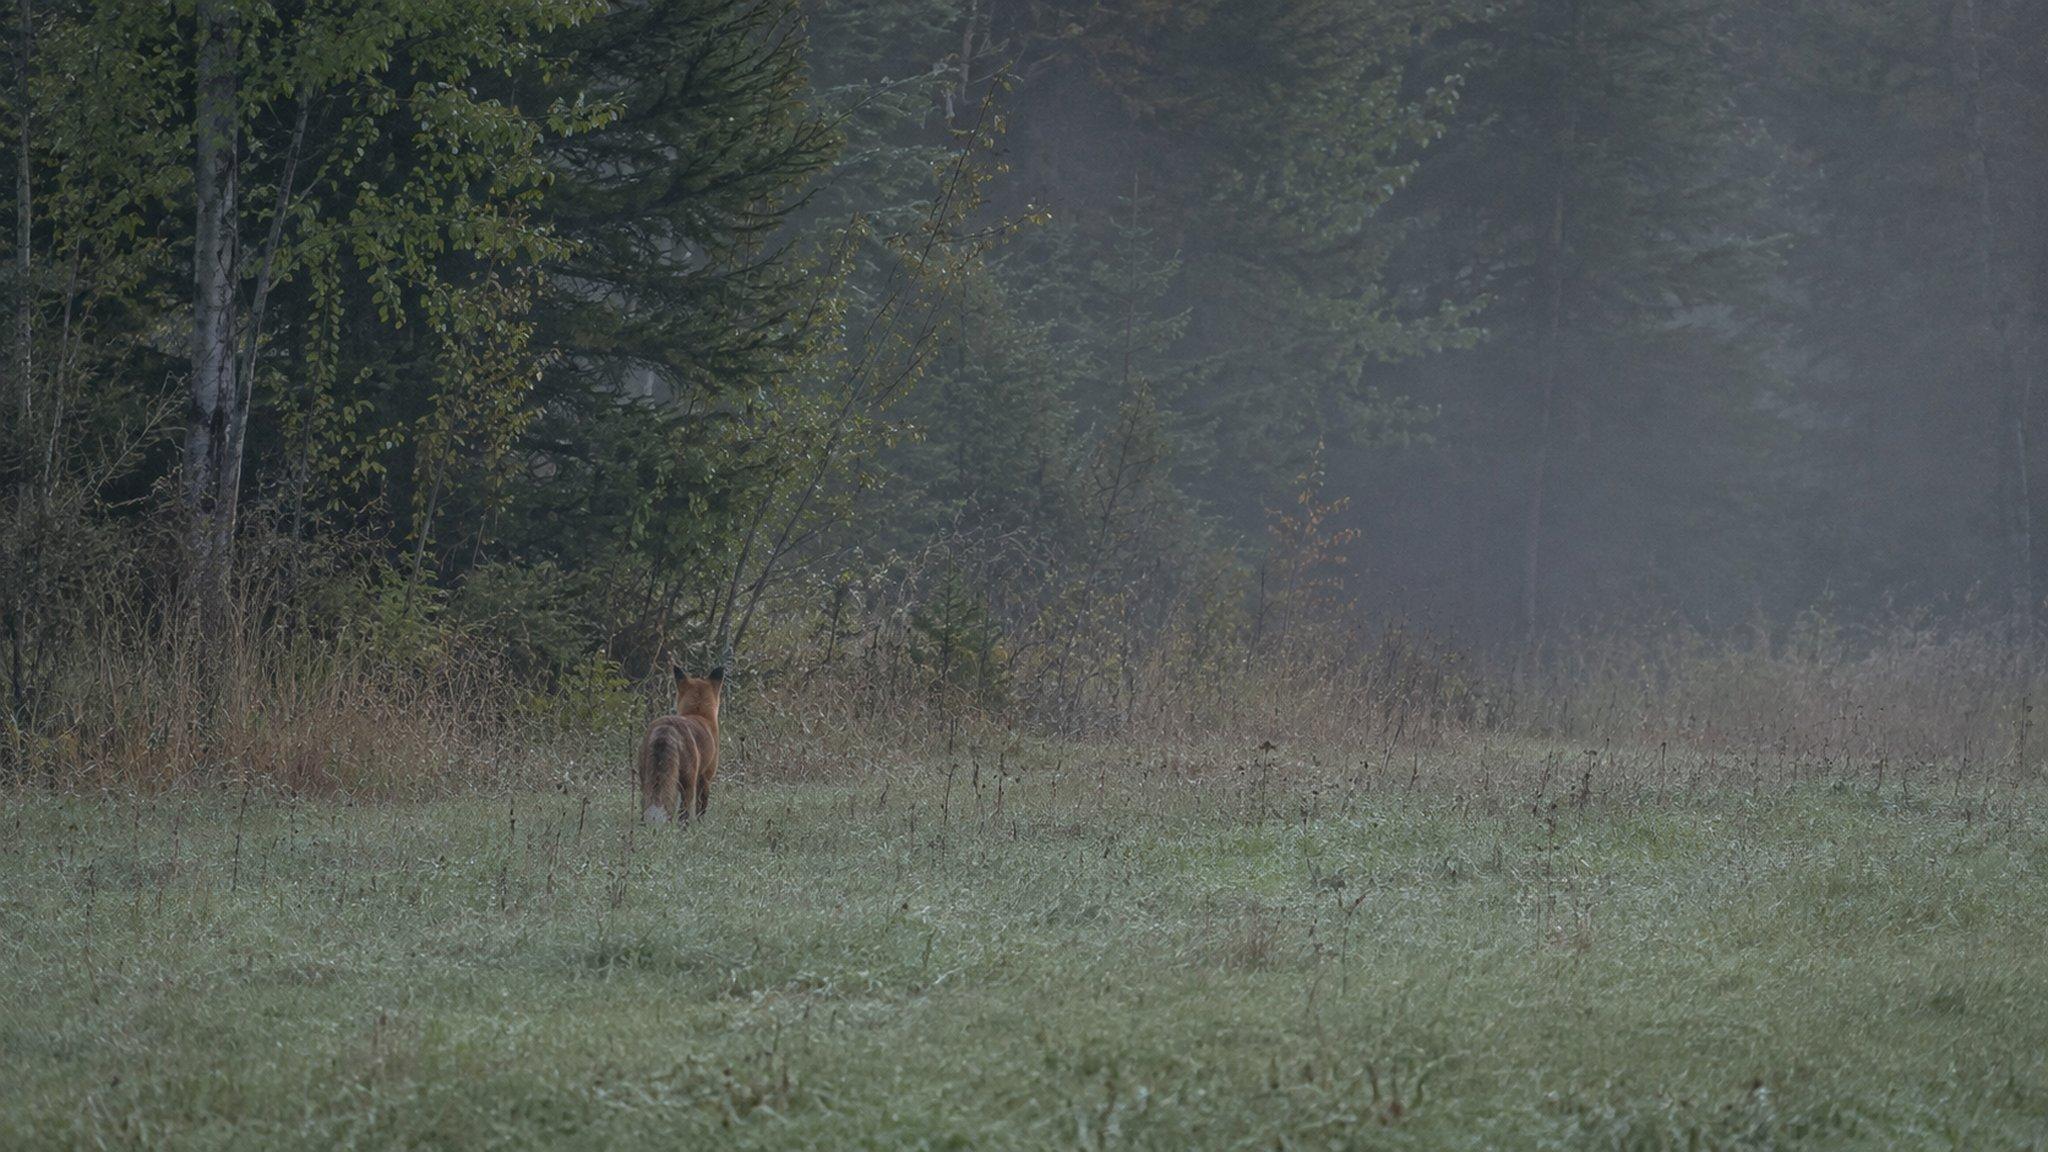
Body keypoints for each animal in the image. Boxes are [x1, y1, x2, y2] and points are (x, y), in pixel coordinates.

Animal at [638, 663, 723, 825]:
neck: (698, 714)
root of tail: (666, 727)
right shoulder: (706, 776)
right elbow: (701, 808)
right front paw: (702, 825)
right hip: (688, 782)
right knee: (684, 814)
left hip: (645, 779)